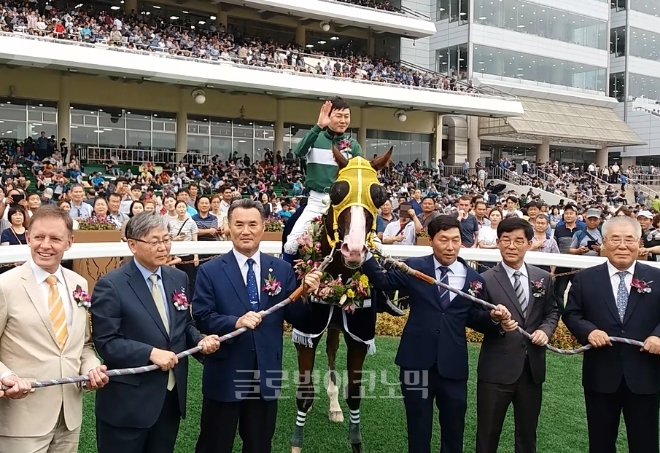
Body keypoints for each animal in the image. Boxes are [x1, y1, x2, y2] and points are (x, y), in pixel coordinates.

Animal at [282, 146, 394, 452]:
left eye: (379, 194)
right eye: (336, 191)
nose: (353, 250)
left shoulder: (359, 333)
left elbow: (354, 393)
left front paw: (355, 440)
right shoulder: (306, 328)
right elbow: (304, 392)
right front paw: (296, 444)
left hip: (336, 325)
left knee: (332, 353)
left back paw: (333, 406)